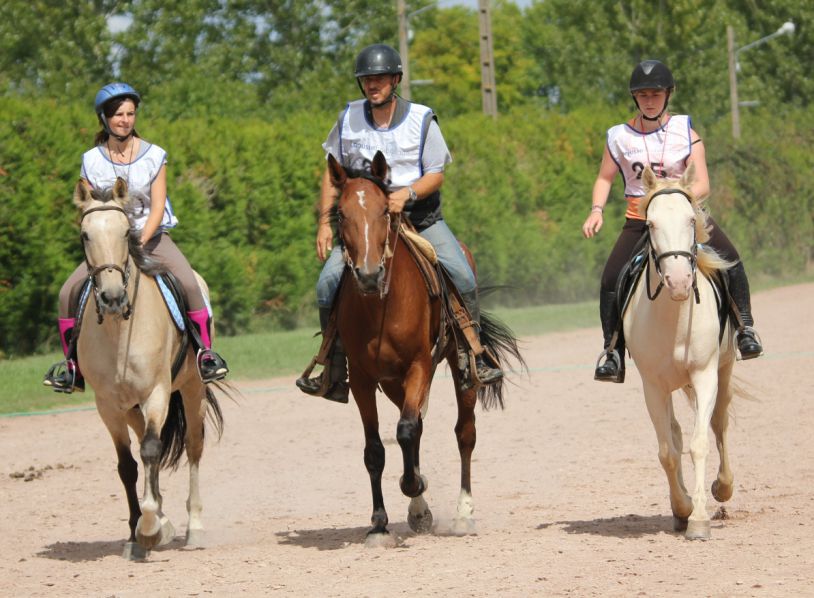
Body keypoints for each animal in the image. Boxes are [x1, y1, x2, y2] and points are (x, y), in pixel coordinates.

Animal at [326, 151, 524, 548]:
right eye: (341, 214)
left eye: (384, 211)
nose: (368, 275)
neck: (380, 307)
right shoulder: (364, 381)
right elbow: (376, 449)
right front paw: (380, 524)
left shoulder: (419, 365)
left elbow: (405, 431)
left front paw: (414, 486)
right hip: (393, 384)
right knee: (416, 426)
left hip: (462, 372)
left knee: (464, 433)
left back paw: (463, 514)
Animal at [624, 166, 740, 540]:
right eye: (650, 224)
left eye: (691, 219)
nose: (678, 281)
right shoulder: (653, 387)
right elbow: (668, 452)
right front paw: (684, 508)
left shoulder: (704, 376)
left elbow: (699, 443)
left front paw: (700, 520)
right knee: (674, 433)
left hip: (725, 370)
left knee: (719, 423)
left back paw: (723, 487)